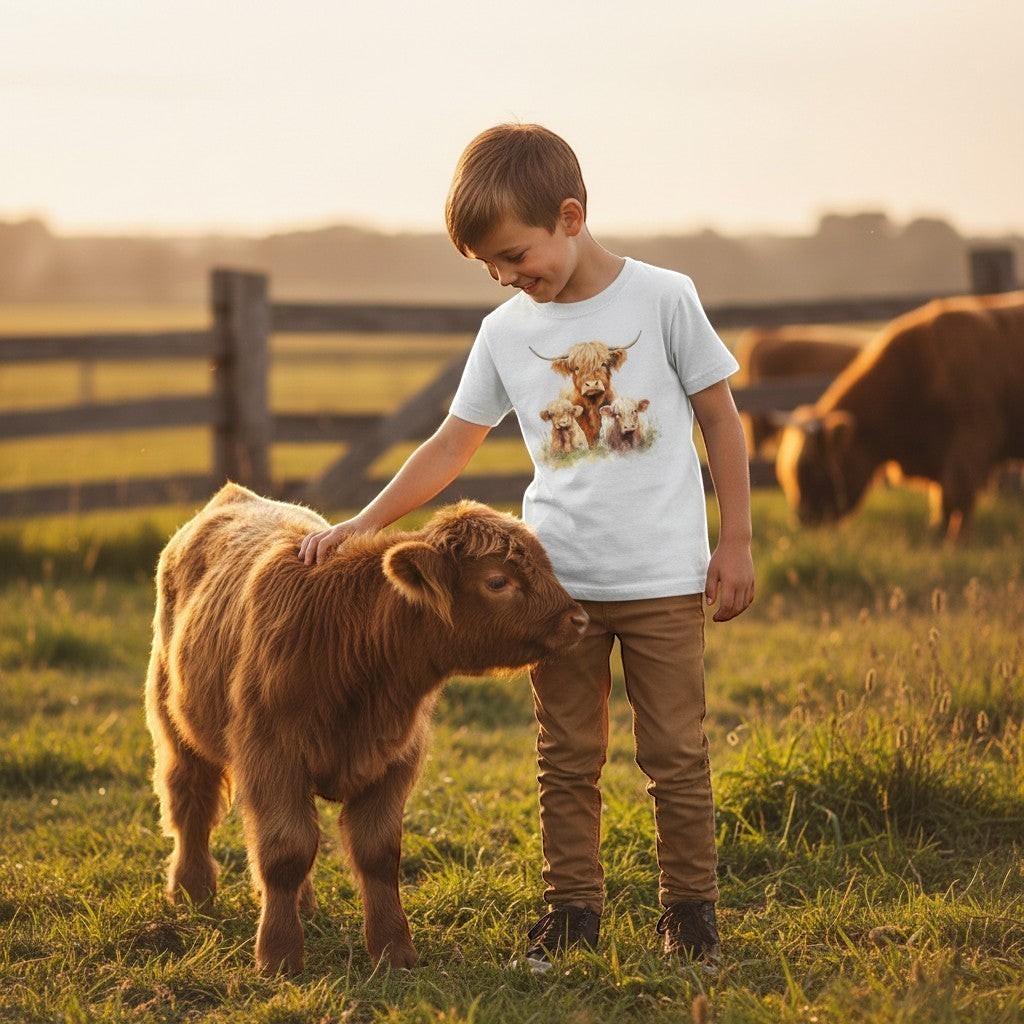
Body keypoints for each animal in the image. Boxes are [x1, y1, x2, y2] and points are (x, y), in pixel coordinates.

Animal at [144, 483, 587, 975]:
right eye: (497, 581)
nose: (577, 619)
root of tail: (233, 495)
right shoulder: (271, 755)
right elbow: (284, 850)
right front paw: (278, 956)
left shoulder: (395, 759)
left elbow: (376, 854)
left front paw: (394, 952)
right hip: (174, 724)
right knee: (190, 802)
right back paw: (192, 892)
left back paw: (304, 905)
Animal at [775, 291, 1024, 541]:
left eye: (810, 467)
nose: (801, 519)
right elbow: (942, 500)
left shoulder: (970, 442)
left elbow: (954, 496)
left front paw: (953, 540)